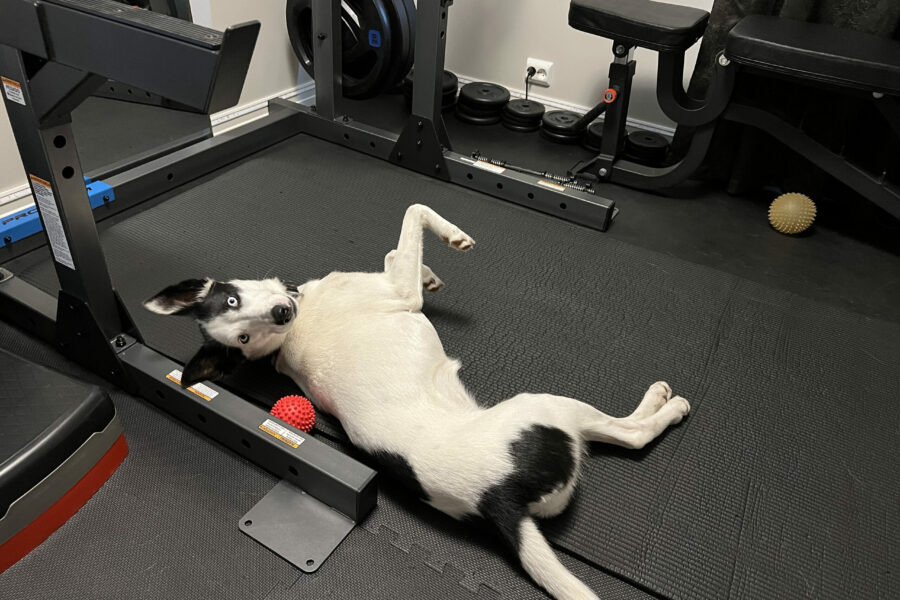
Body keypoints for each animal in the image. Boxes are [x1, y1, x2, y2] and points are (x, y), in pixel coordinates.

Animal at [144, 203, 688, 600]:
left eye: (235, 309)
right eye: (241, 332)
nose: (281, 314)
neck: (294, 325)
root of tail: (499, 500)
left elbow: (395, 248)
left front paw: (430, 270)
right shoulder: (399, 291)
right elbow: (414, 213)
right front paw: (453, 237)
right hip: (548, 409)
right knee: (631, 434)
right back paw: (663, 404)